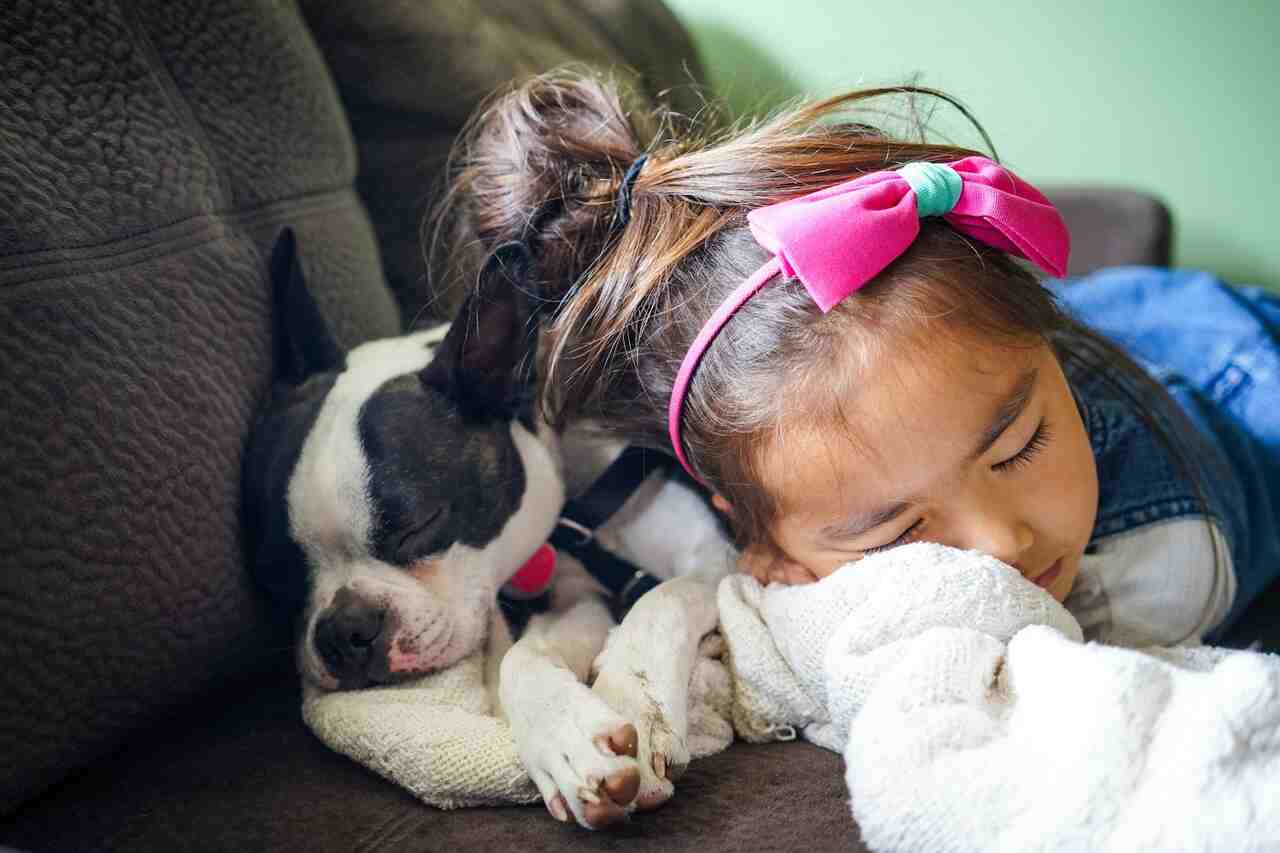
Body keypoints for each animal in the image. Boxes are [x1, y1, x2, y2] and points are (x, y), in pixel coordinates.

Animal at [240, 229, 737, 824]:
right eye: (277, 573)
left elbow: (664, 599)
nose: (344, 631)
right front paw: (566, 740)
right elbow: (521, 657)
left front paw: (636, 700)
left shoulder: (717, 556)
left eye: (419, 525)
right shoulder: (572, 594)